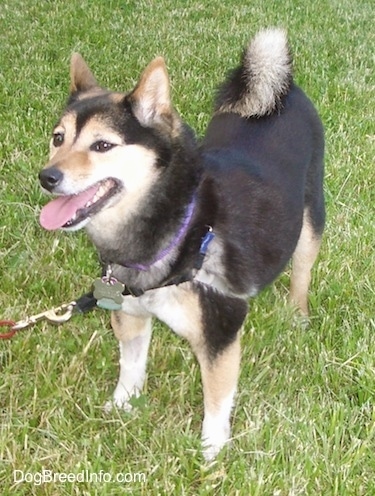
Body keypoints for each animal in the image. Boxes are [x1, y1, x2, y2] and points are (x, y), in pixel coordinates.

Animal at [39, 28, 326, 462]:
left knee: (302, 268)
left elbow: (217, 398)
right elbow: (131, 366)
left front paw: (211, 450)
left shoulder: (220, 332)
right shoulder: (130, 313)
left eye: (103, 146)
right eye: (58, 138)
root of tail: (285, 91)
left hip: (311, 215)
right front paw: (122, 405)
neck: (176, 225)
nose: (47, 177)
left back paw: (297, 313)